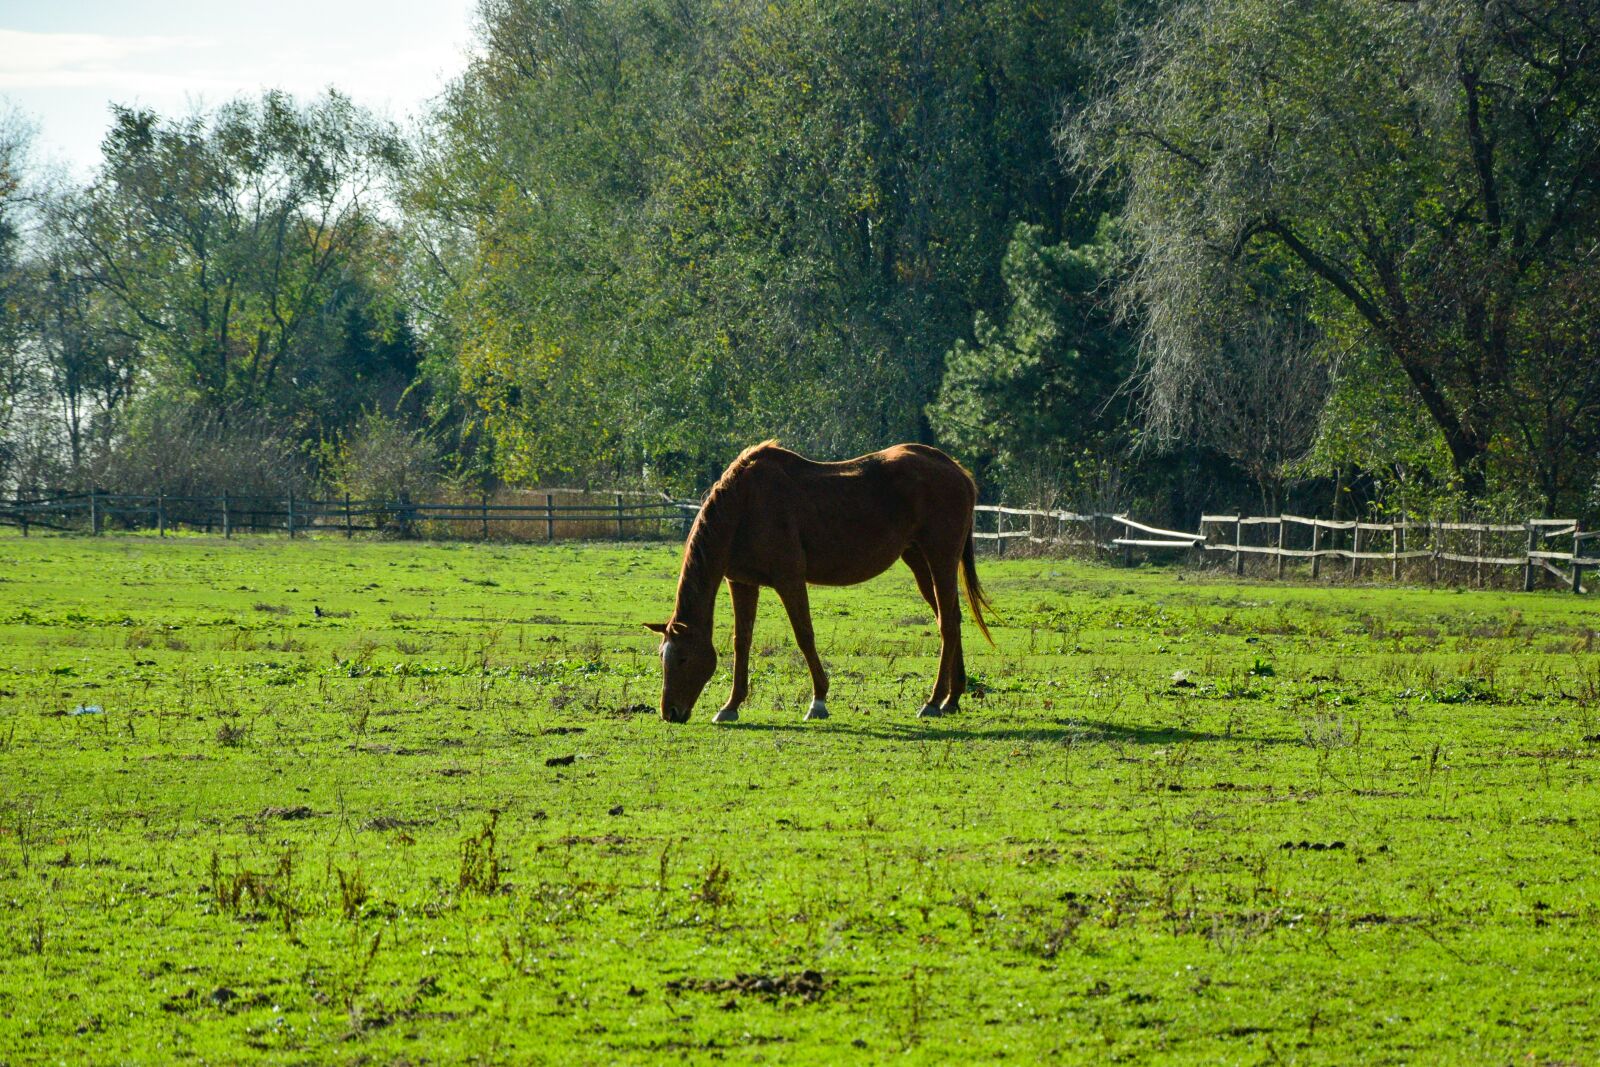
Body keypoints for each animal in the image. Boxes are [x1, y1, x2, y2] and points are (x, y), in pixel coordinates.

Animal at [645, 441, 994, 724]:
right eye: (663, 657)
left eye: (682, 658)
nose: (670, 712)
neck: (744, 507)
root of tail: (957, 471)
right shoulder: (741, 582)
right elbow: (741, 642)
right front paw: (731, 706)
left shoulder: (789, 579)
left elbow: (805, 636)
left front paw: (819, 702)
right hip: (919, 561)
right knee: (951, 619)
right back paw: (952, 698)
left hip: (940, 559)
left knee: (947, 624)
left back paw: (933, 701)